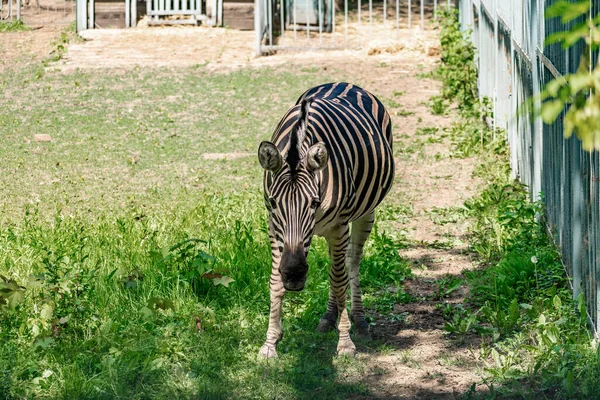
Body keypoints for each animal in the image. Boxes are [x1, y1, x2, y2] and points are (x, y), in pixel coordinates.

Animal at [256, 82, 394, 360]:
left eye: (314, 203)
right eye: (274, 203)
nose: (294, 274)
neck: (296, 149)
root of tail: (343, 82)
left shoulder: (339, 226)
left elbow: (339, 281)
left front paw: (345, 342)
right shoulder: (273, 226)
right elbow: (275, 282)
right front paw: (270, 343)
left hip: (365, 213)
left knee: (351, 263)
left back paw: (358, 320)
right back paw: (329, 316)